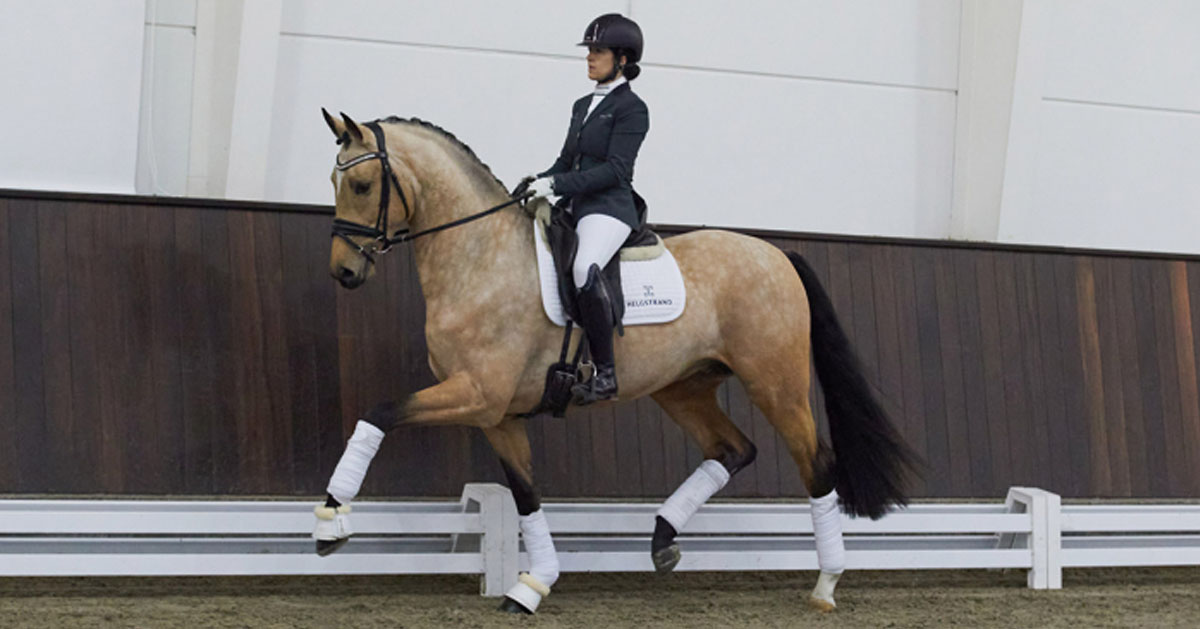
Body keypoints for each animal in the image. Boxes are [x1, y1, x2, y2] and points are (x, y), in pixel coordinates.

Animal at [309, 109, 916, 614]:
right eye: (334, 184)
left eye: (361, 184)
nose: (343, 272)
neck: (480, 258)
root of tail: (777, 253)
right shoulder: (497, 413)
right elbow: (526, 495)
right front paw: (533, 586)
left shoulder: (477, 392)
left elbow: (379, 413)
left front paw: (331, 522)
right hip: (683, 388)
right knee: (734, 449)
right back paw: (664, 538)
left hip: (775, 383)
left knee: (815, 465)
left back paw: (826, 584)